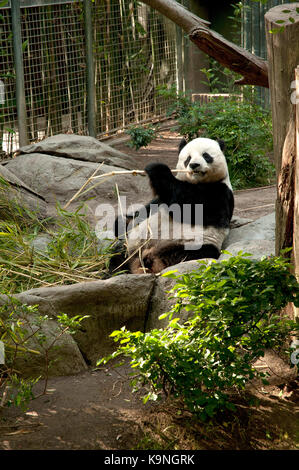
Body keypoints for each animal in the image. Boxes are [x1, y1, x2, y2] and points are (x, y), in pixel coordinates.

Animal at [112, 138, 234, 274]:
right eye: (188, 158)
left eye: (206, 156)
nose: (194, 165)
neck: (196, 182)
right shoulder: (159, 201)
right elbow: (149, 209)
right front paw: (122, 221)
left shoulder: (220, 192)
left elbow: (190, 207)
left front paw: (156, 168)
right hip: (131, 247)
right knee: (117, 255)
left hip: (192, 243)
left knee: (191, 254)